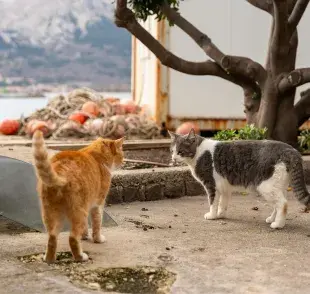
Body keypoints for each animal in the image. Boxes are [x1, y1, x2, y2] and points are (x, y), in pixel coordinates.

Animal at [31, 130, 123, 262]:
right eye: (121, 153)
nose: (124, 161)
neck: (96, 156)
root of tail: (60, 170)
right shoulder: (98, 204)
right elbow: (97, 223)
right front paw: (97, 239)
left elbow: (86, 226)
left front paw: (84, 236)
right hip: (79, 212)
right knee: (73, 238)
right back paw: (80, 257)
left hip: (51, 213)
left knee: (52, 238)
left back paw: (49, 259)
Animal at [170, 129, 310, 230]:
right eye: (172, 151)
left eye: (180, 151)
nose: (173, 158)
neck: (199, 152)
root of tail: (291, 150)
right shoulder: (224, 187)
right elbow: (223, 203)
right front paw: (221, 215)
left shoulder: (211, 185)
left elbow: (213, 202)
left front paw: (212, 215)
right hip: (278, 186)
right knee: (278, 203)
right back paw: (272, 219)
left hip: (266, 186)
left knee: (283, 204)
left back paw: (278, 224)